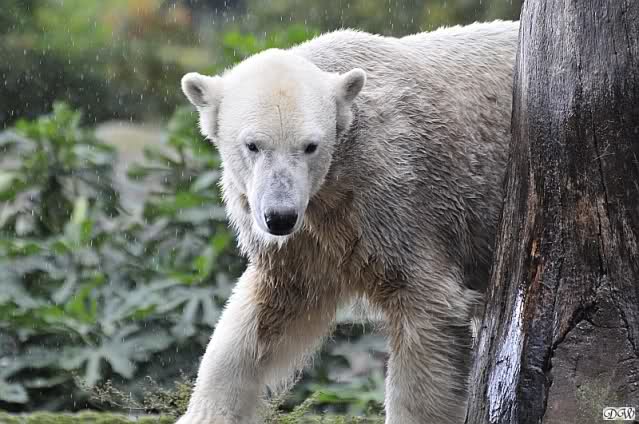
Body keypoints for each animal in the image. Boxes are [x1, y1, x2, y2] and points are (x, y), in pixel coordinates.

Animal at [177, 20, 519, 424]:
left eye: (310, 146)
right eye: (252, 145)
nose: (280, 217)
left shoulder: (395, 197)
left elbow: (426, 306)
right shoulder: (305, 238)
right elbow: (263, 317)